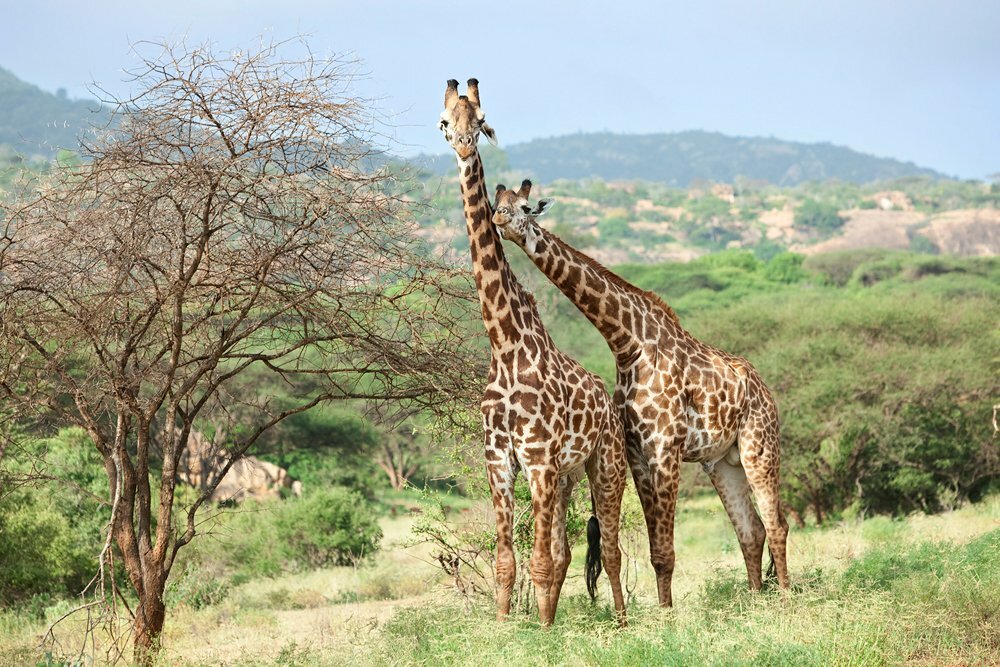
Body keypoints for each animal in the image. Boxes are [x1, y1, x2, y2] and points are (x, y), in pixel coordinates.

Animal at [436, 82, 624, 628]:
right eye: (444, 121)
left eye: (481, 120)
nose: (462, 145)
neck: (504, 345)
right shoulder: (499, 460)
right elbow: (508, 562)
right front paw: (512, 627)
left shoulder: (538, 459)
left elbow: (538, 560)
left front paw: (540, 632)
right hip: (566, 477)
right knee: (566, 551)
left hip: (604, 465)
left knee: (612, 548)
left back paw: (624, 620)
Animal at [492, 180, 788, 608]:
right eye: (498, 201)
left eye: (525, 207)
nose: (499, 219)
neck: (627, 344)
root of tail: (766, 390)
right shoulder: (638, 455)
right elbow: (655, 551)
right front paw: (665, 612)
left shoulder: (665, 449)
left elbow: (665, 552)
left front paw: (667, 617)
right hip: (721, 462)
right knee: (751, 530)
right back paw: (755, 602)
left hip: (758, 445)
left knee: (776, 523)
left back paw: (786, 599)